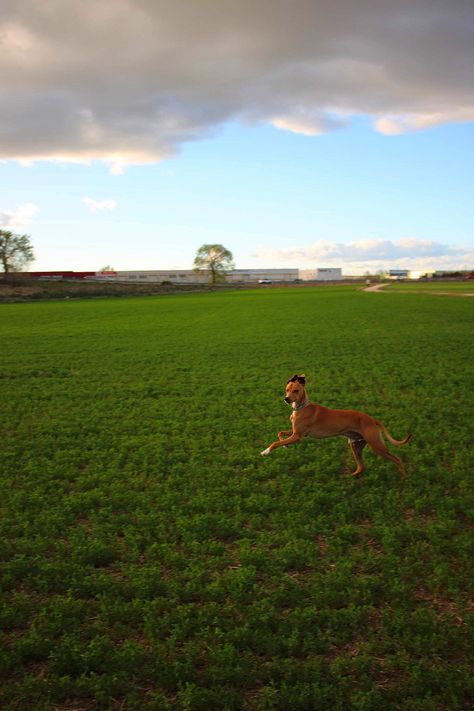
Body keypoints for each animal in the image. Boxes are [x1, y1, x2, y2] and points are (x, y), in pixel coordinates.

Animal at [262, 372, 412, 478]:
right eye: (287, 389)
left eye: (296, 391)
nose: (286, 399)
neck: (301, 407)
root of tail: (371, 419)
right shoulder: (295, 433)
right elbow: (280, 433)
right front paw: (285, 445)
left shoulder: (298, 437)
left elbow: (275, 443)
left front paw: (266, 451)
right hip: (355, 445)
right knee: (361, 467)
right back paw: (350, 478)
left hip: (377, 445)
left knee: (397, 459)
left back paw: (404, 478)